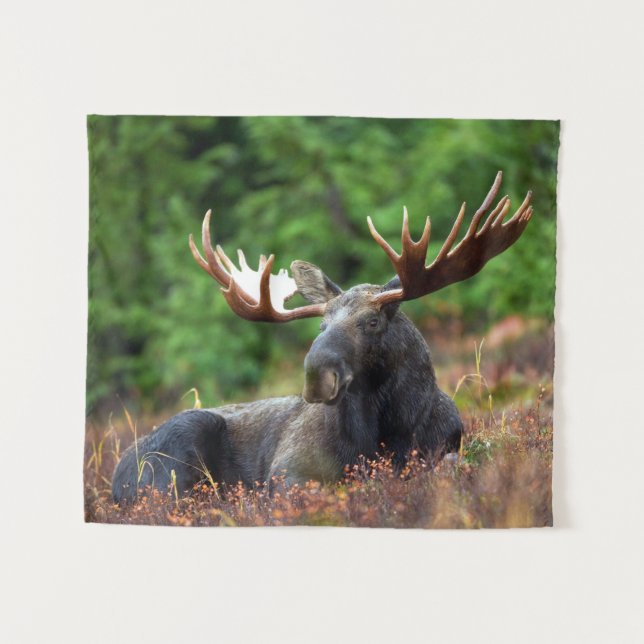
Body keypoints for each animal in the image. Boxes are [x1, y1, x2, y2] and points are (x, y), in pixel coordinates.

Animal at [111, 171, 533, 504]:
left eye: (372, 321)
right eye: (321, 325)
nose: (316, 376)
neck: (391, 431)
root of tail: (115, 479)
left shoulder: (446, 447)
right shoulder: (288, 470)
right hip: (176, 456)